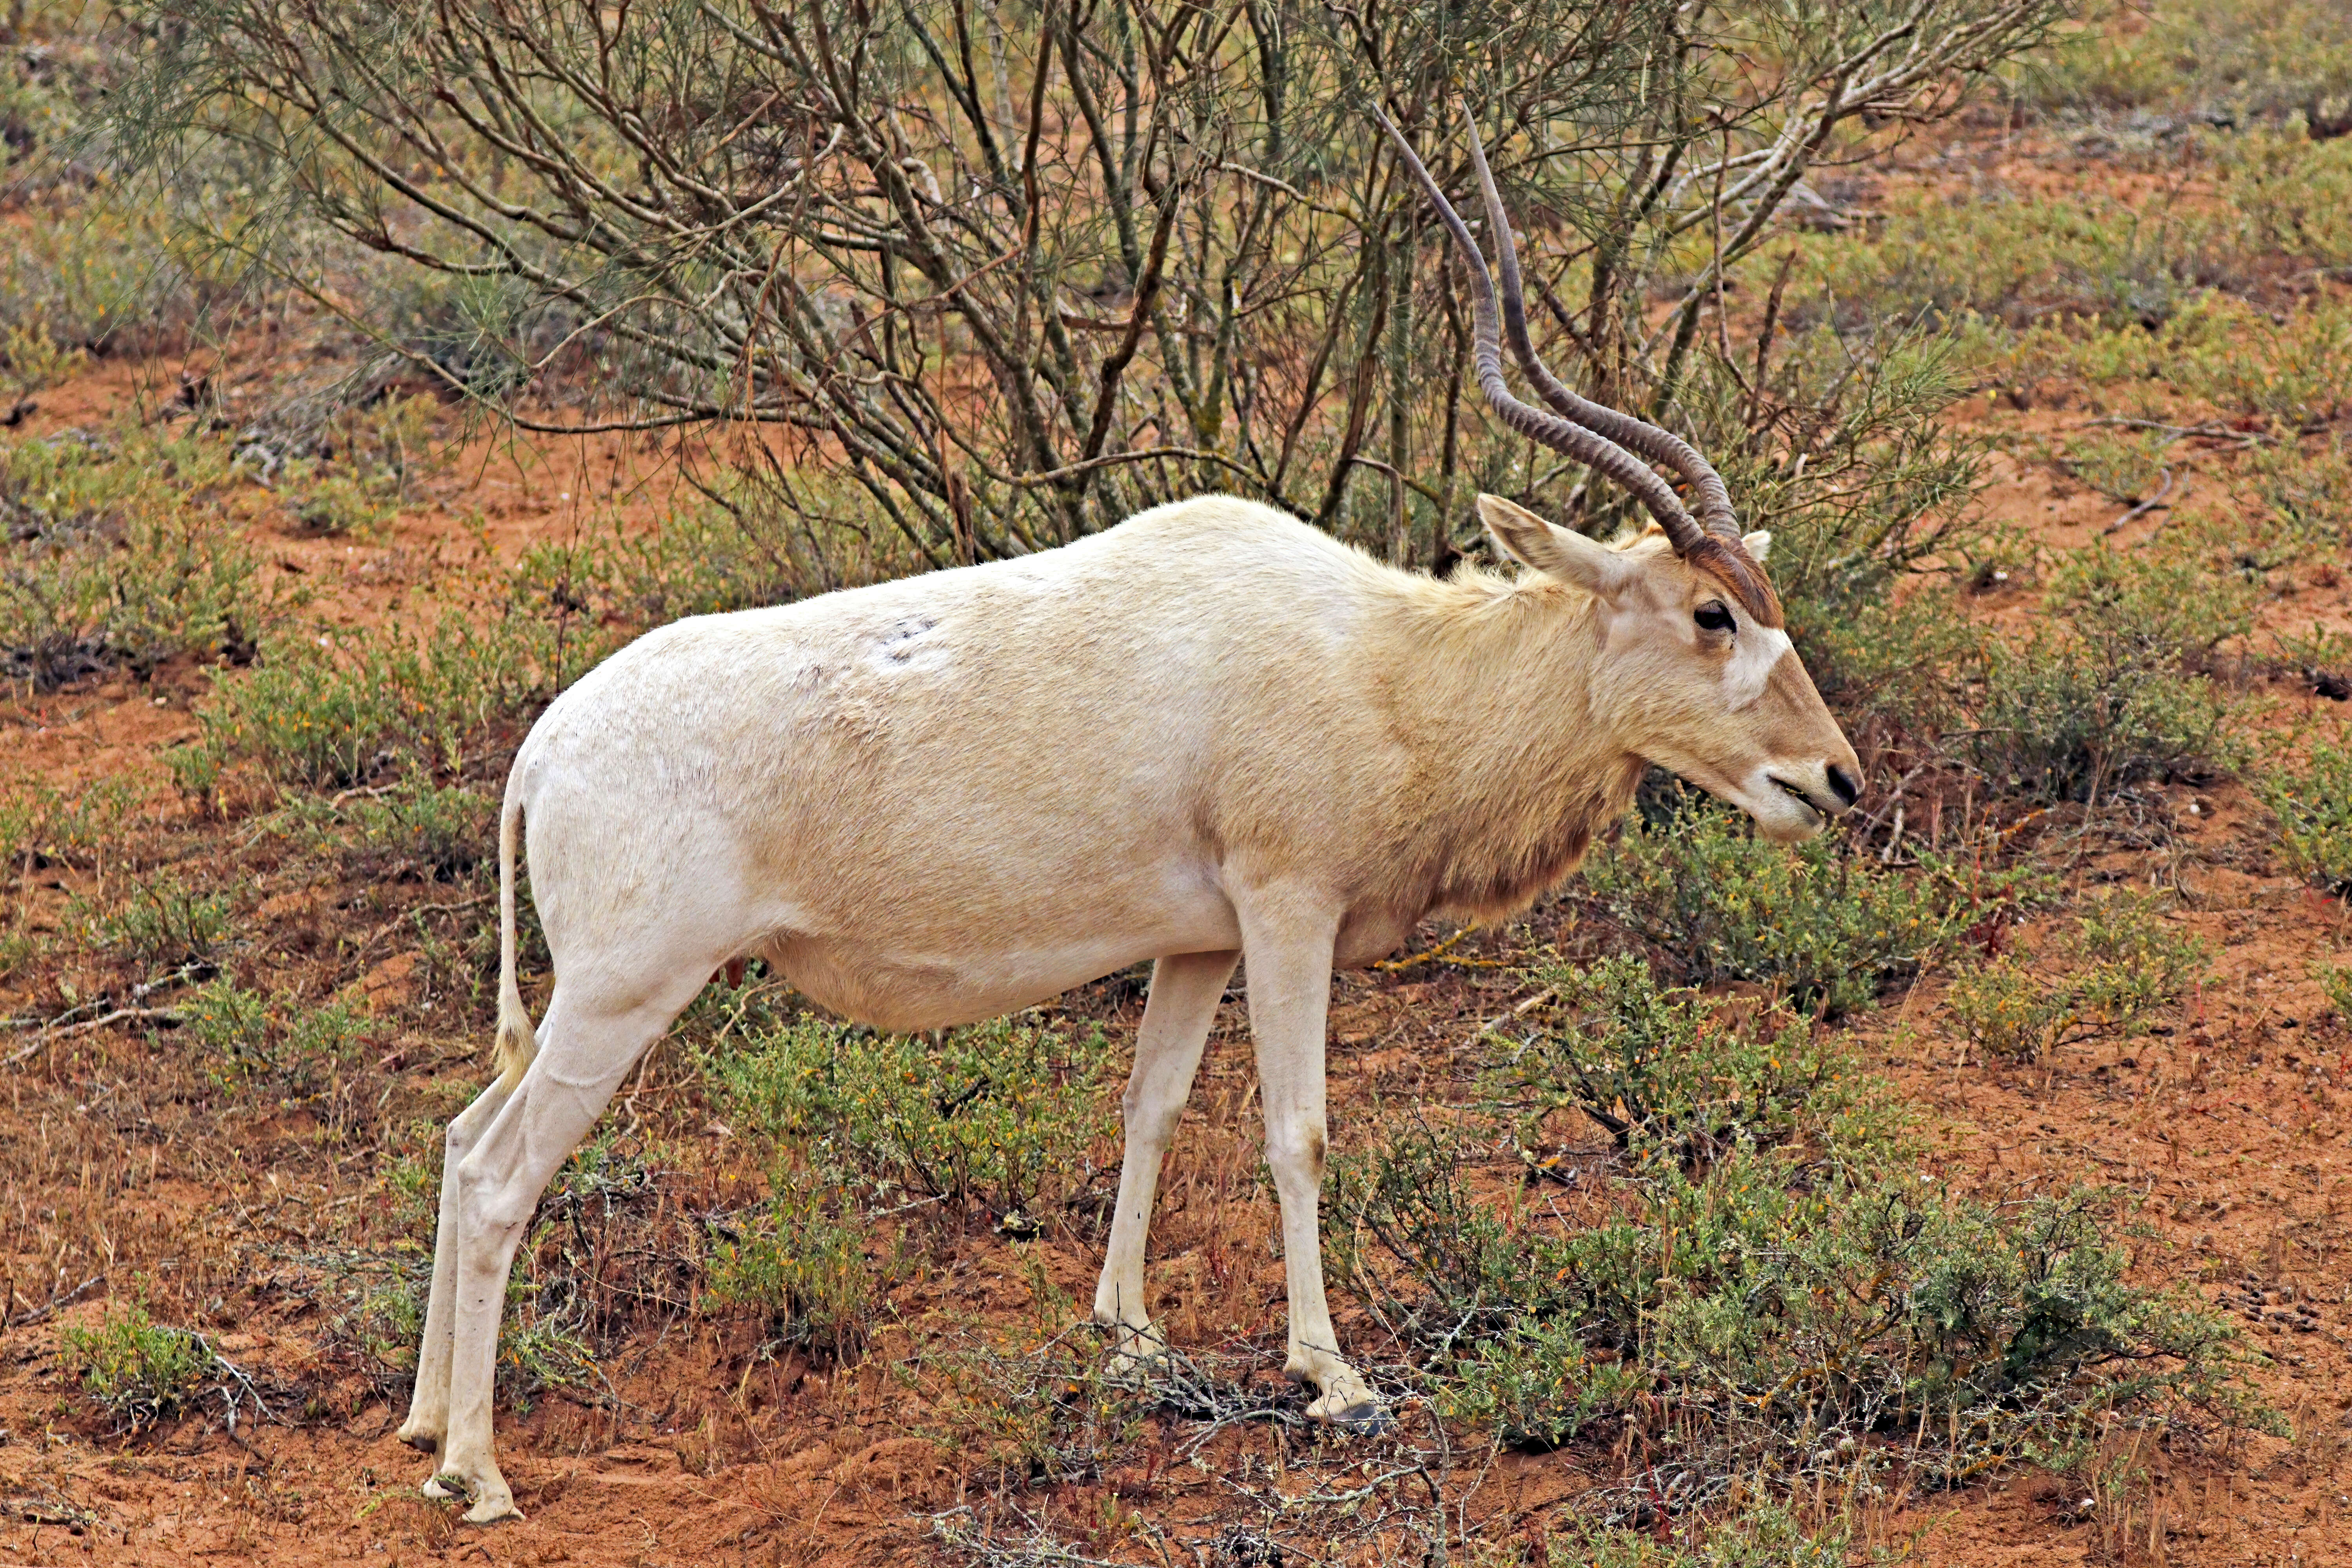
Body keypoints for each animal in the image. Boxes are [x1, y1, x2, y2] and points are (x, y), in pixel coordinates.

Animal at [409, 101, 1872, 1523]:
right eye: (1710, 612)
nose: (1835, 780)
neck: (1383, 664)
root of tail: (545, 750)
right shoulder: (1288, 910)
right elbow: (1297, 1131)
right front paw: (1331, 1377)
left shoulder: (1198, 942)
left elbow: (1151, 1108)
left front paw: (1129, 1333)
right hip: (626, 993)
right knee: (498, 1176)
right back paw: (477, 1474)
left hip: (591, 999)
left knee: (462, 1135)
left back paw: (425, 1421)